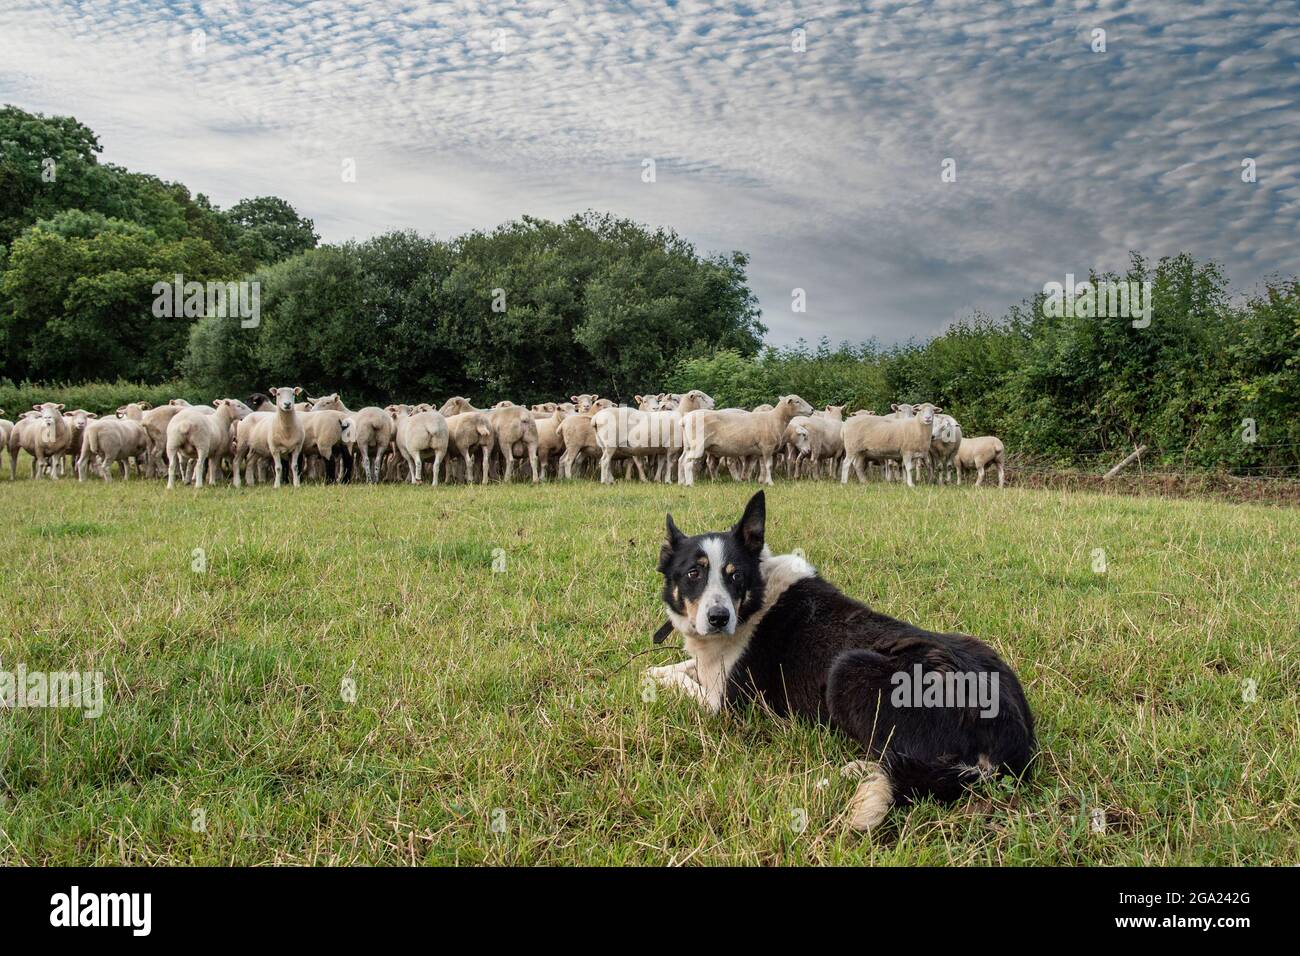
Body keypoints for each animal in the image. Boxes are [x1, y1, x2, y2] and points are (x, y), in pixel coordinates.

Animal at [650, 494, 1034, 832]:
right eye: (693, 574)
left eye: (736, 576)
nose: (718, 618)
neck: (755, 601)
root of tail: (1010, 737)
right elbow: (671, 669)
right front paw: (656, 671)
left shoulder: (724, 704)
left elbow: (679, 681)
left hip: (849, 669)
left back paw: (855, 773)